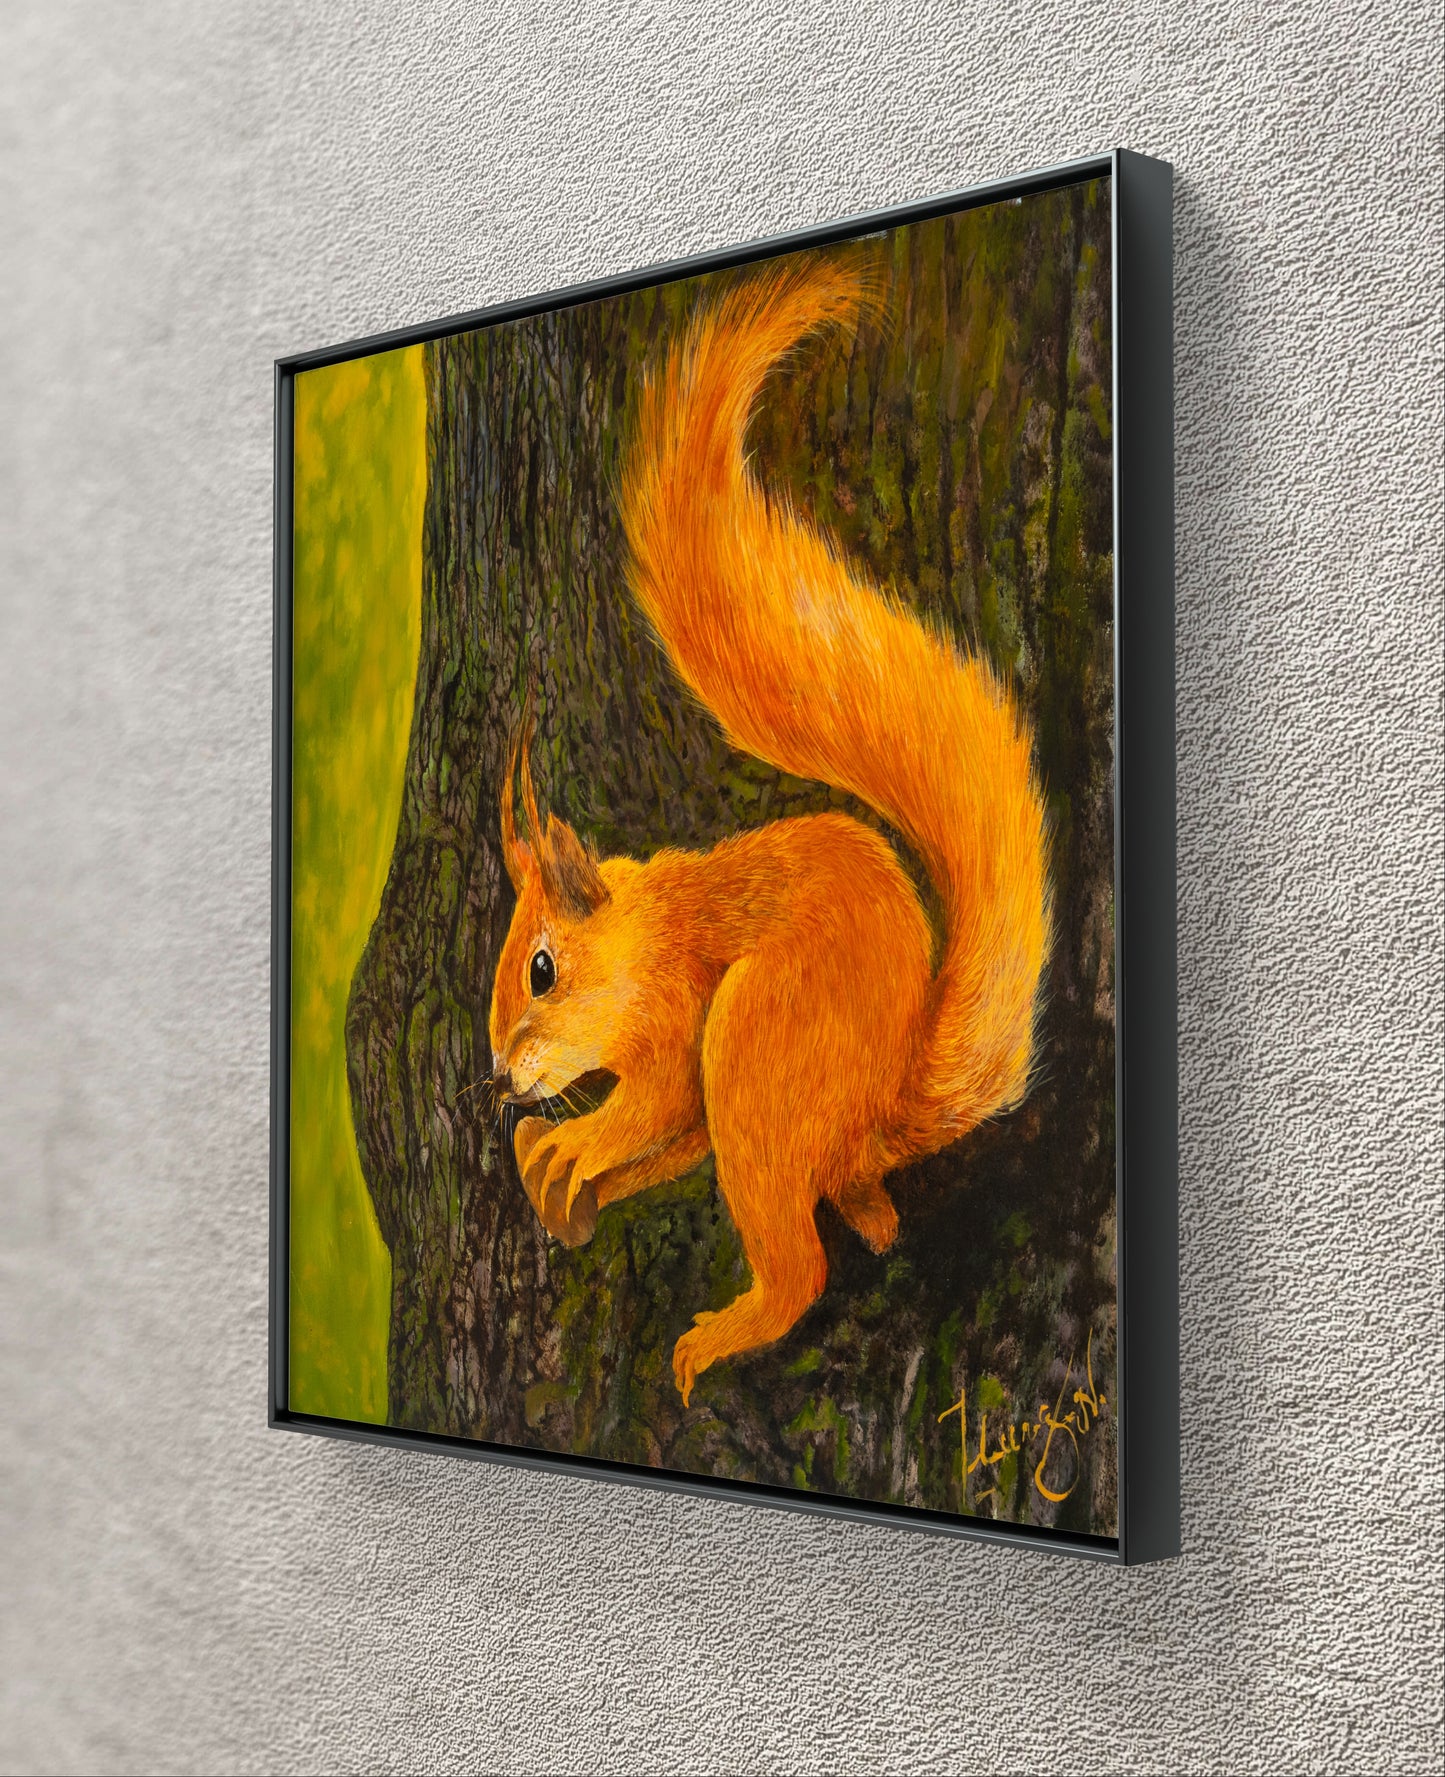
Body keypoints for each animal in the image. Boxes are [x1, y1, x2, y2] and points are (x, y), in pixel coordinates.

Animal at [487, 257, 1049, 1406]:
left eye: (540, 970)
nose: (498, 1080)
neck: (636, 932)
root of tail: (882, 1105)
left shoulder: (674, 1014)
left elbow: (652, 1100)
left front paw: (576, 1142)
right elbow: (656, 1138)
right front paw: (554, 1162)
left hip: (755, 1044)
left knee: (801, 1265)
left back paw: (721, 1334)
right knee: (850, 1218)